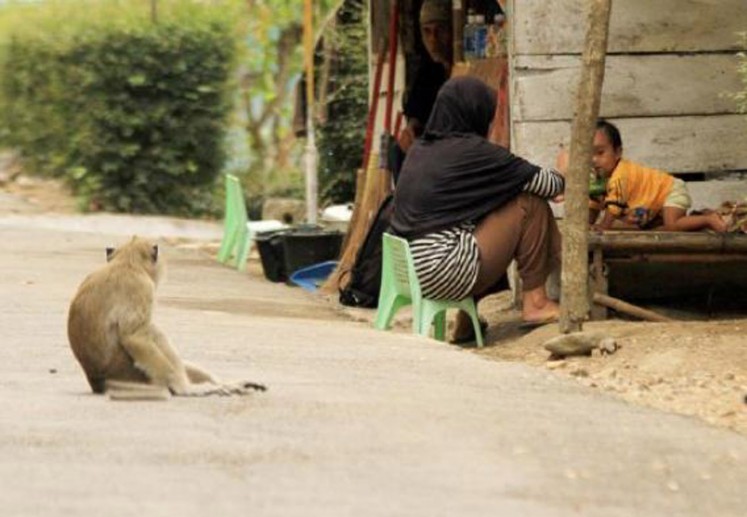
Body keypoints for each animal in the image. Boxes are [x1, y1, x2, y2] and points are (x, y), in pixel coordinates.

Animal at [67, 236, 266, 398]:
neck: (126, 263)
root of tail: (98, 383)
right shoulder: (142, 287)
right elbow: (135, 337)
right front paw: (182, 389)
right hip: (132, 376)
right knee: (153, 332)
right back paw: (189, 387)